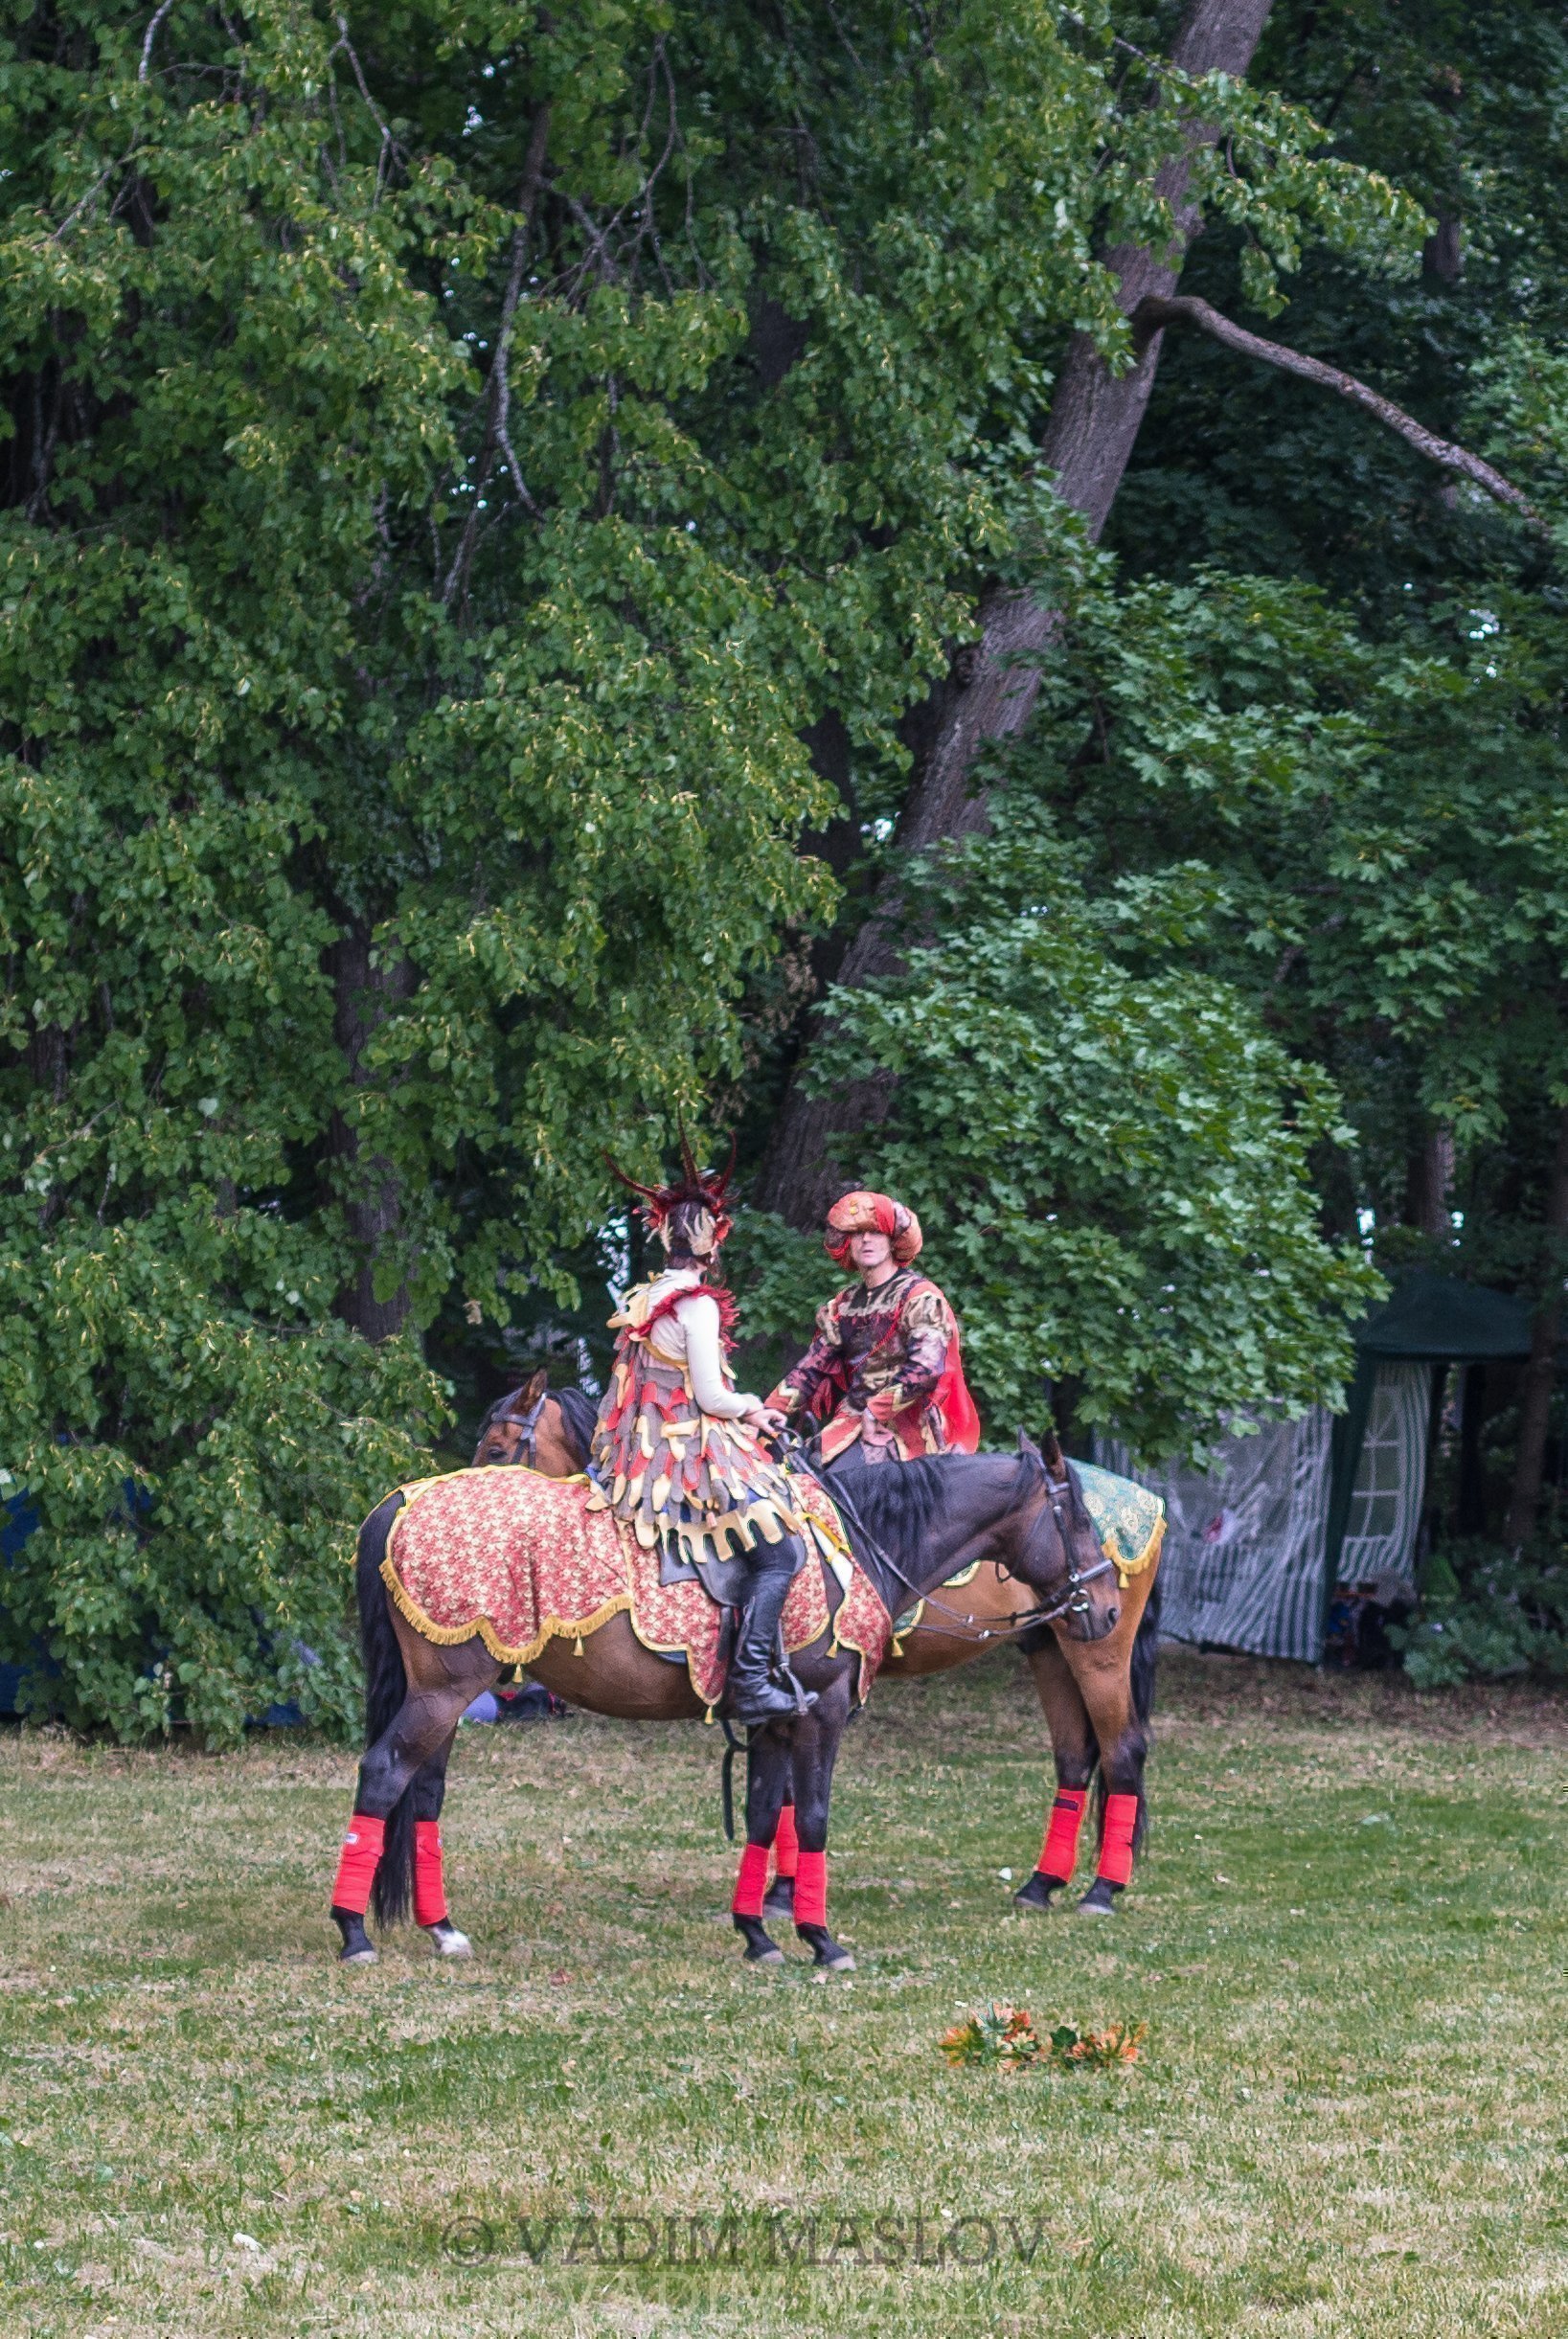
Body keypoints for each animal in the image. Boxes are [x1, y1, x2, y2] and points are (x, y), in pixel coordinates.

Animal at [335, 1435, 1125, 1971]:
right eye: (1080, 1522)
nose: (1108, 1608)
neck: (856, 1544)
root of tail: (400, 1502)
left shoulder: (774, 1720)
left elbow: (762, 1816)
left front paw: (757, 1934)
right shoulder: (820, 1712)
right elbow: (811, 1819)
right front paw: (819, 1938)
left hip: (445, 1693)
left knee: (424, 1793)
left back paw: (441, 1929)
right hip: (443, 1692)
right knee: (384, 1775)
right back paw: (352, 1933)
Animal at [470, 1384, 1163, 1921]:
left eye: (499, 1449)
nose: (1102, 1595)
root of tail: (1150, 1505)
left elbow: (790, 1798)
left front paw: (781, 1896)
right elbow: (784, 1798)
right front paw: (780, 1893)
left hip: (1096, 1651)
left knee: (1122, 1748)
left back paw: (1101, 1890)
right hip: (1054, 1643)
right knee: (1075, 1757)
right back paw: (1042, 1884)